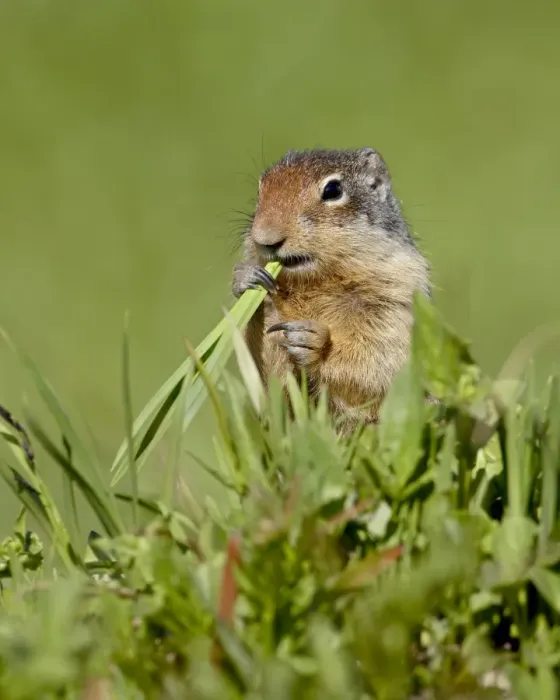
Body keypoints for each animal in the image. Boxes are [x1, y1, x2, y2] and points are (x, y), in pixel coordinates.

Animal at [232, 147, 431, 432]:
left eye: (333, 190)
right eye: (261, 187)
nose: (265, 238)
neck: (315, 281)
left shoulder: (395, 299)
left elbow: (377, 360)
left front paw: (314, 342)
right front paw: (247, 279)